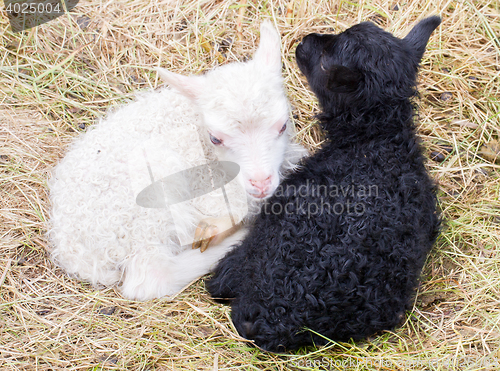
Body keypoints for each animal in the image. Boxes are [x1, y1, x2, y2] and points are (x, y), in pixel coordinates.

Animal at [47, 21, 304, 302]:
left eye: (283, 125)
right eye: (215, 138)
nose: (260, 183)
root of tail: (76, 253)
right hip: (150, 204)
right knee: (151, 276)